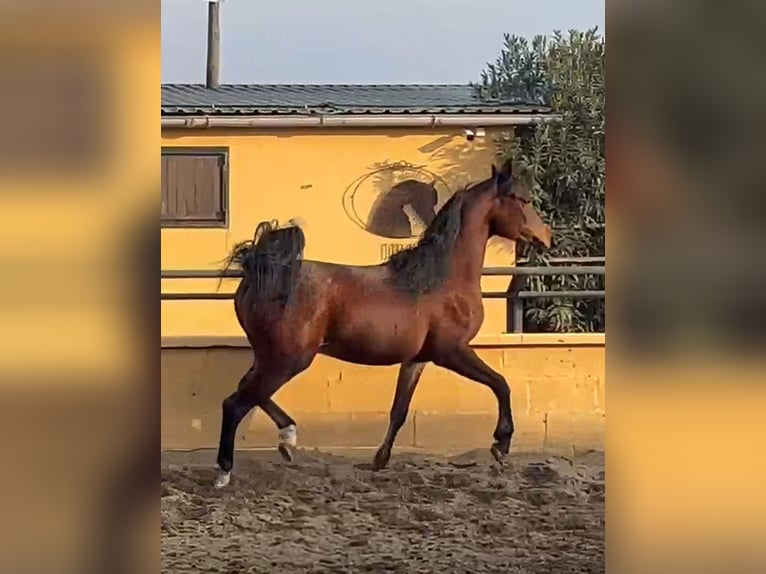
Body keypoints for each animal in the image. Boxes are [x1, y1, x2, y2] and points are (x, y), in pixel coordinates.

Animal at [213, 159, 556, 490]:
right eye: (522, 199)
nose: (547, 236)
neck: (439, 279)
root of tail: (257, 275)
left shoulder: (416, 360)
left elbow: (399, 411)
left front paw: (379, 461)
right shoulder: (452, 352)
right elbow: (501, 384)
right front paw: (501, 445)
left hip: (272, 356)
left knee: (249, 390)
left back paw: (287, 439)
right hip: (288, 359)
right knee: (235, 402)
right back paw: (225, 471)